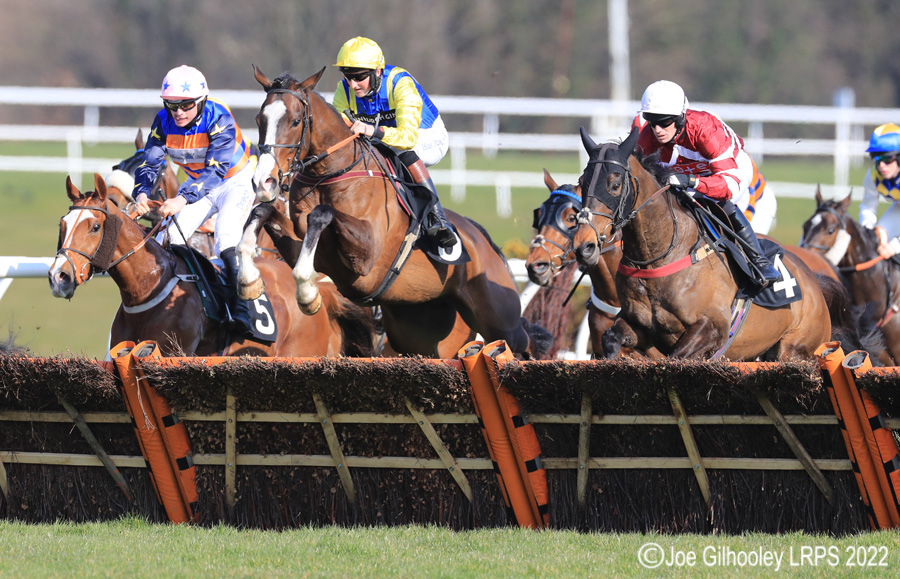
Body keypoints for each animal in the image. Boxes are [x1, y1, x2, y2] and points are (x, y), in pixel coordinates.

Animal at [48, 173, 375, 358]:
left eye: (94, 227)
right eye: (62, 223)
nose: (59, 276)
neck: (148, 288)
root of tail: (326, 295)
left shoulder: (173, 351)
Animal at [238, 66, 550, 358]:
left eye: (295, 121)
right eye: (259, 120)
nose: (264, 182)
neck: (330, 173)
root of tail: (486, 242)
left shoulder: (365, 258)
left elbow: (322, 214)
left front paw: (307, 294)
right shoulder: (306, 246)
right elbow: (262, 212)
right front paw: (249, 280)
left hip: (499, 318)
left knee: (523, 340)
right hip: (420, 331)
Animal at [571, 127, 837, 361]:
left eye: (614, 185)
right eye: (582, 181)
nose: (585, 246)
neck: (660, 255)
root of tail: (813, 281)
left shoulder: (712, 327)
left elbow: (677, 356)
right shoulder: (640, 325)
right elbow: (611, 339)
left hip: (795, 349)